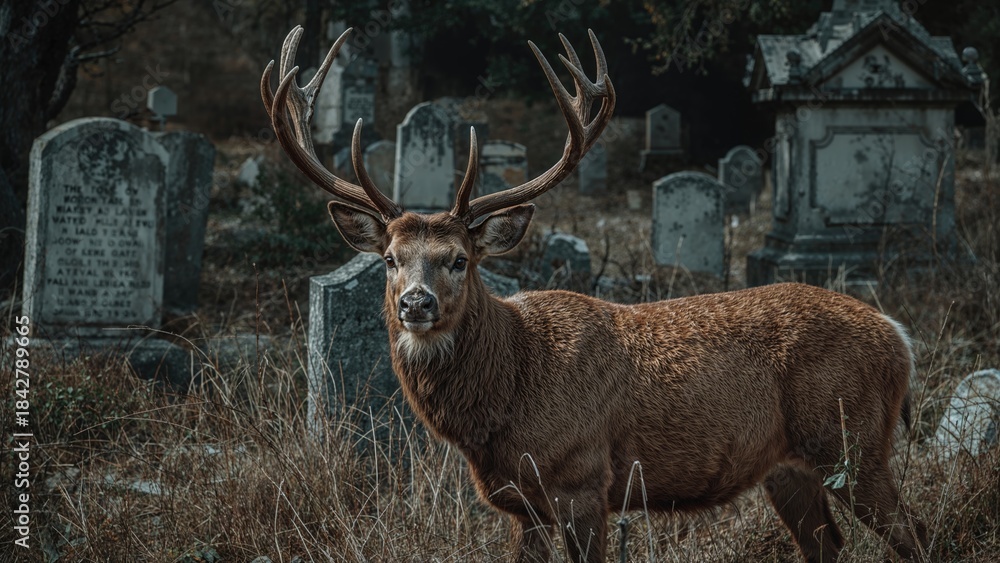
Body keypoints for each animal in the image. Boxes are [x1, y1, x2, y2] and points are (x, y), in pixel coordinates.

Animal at [262, 26, 928, 563]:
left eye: (459, 259)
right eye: (390, 260)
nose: (416, 304)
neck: (507, 394)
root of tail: (899, 338)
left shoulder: (585, 480)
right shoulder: (520, 504)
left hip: (853, 439)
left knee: (915, 533)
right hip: (791, 466)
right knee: (829, 544)